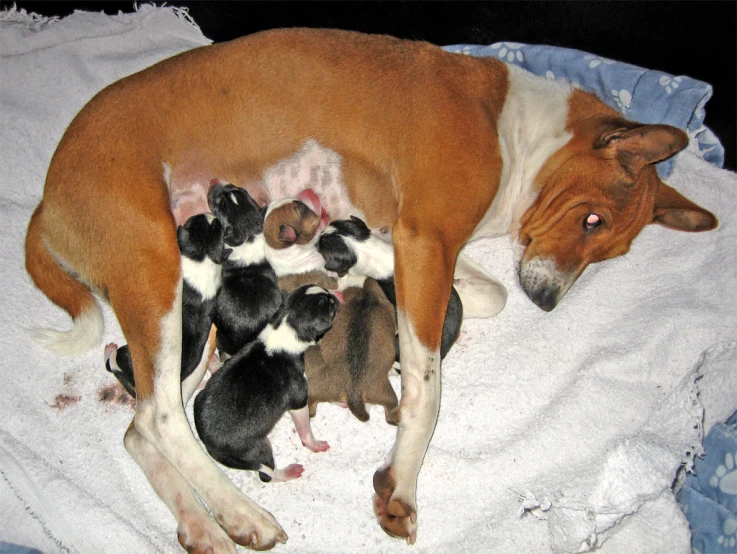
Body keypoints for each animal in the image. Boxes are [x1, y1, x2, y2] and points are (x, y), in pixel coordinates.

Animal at [102, 211, 226, 396]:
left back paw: (109, 350)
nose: (207, 212)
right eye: (216, 224)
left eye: (191, 221)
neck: (202, 254)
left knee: (112, 362)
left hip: (124, 355)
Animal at [190, 282, 340, 480]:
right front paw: (314, 444)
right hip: (257, 451)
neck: (285, 327)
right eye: (331, 305)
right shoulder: (299, 401)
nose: (336, 295)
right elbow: (305, 429)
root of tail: (207, 442)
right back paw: (288, 472)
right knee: (268, 473)